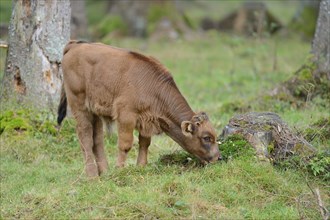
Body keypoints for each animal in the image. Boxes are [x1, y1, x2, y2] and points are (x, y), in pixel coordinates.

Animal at [58, 41, 220, 178]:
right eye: (206, 137)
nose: (219, 157)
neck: (153, 87)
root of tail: (75, 45)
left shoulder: (147, 121)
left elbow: (144, 143)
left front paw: (141, 167)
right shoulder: (126, 117)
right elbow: (125, 145)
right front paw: (120, 169)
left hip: (94, 111)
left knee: (97, 138)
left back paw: (104, 172)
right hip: (79, 106)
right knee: (85, 136)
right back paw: (92, 176)